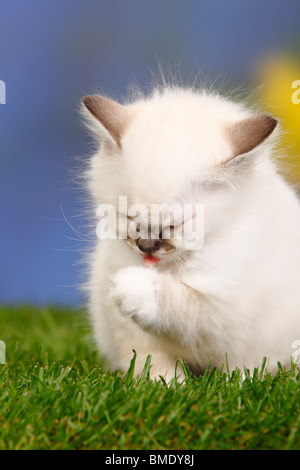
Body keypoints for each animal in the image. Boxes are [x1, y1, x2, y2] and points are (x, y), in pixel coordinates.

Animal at [81, 87, 300, 382]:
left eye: (174, 226)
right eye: (129, 218)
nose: (145, 246)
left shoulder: (224, 313)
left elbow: (179, 303)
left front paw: (135, 285)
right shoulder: (125, 326)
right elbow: (150, 363)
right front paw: (166, 386)